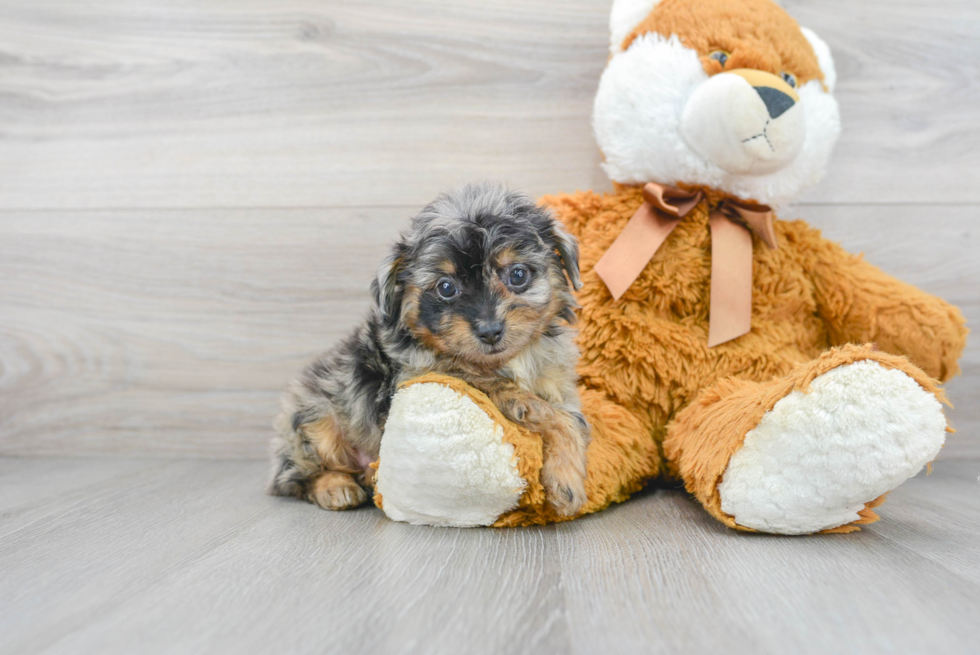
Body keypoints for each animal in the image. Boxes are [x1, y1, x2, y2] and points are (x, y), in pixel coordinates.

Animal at [268, 182, 588, 516]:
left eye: (518, 275)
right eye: (446, 288)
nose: (489, 330)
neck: (510, 359)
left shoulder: (556, 381)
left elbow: (570, 417)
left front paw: (566, 469)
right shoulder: (435, 373)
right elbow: (545, 412)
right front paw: (567, 484)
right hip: (315, 420)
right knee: (298, 476)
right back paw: (336, 487)